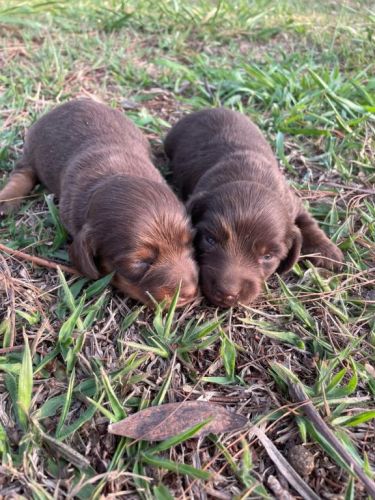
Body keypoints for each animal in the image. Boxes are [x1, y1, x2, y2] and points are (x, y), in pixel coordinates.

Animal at [0, 99, 200, 306]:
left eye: (190, 242)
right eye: (140, 262)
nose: (189, 292)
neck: (116, 174)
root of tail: (66, 104)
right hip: (32, 148)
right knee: (23, 172)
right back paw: (7, 199)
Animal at [164, 107, 344, 306]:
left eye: (267, 257)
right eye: (210, 240)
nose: (228, 293)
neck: (249, 175)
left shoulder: (292, 201)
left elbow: (307, 223)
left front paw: (328, 253)